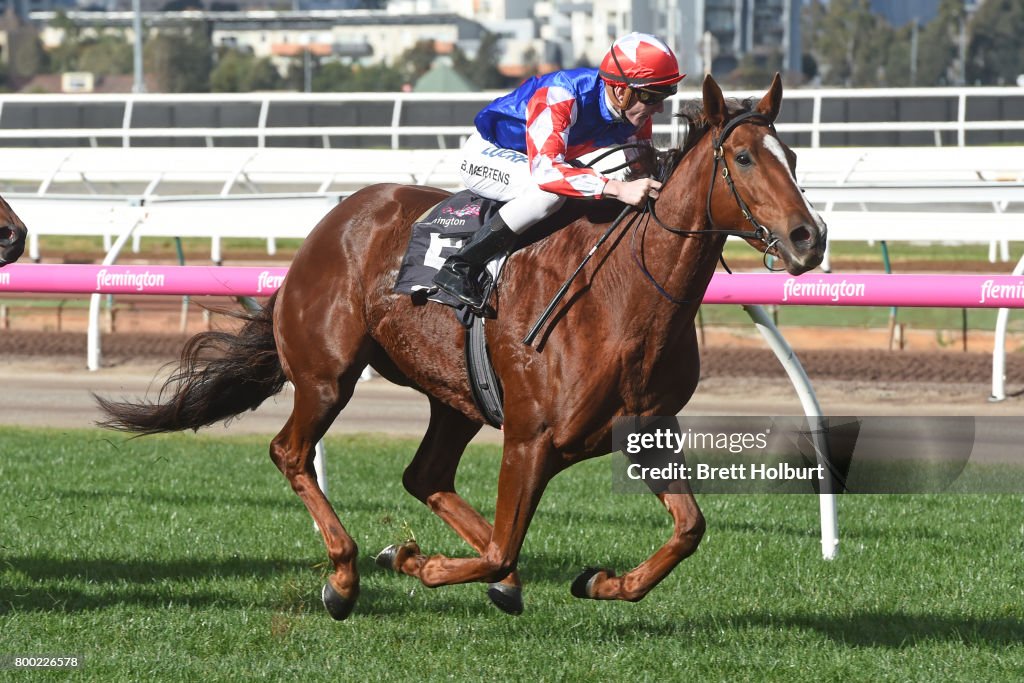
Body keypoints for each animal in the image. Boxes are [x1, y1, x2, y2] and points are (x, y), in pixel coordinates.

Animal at [99, 74, 827, 618]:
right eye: (742, 158)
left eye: (792, 159)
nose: (808, 238)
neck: (623, 300)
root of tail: (330, 224)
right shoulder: (531, 436)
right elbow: (506, 544)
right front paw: (415, 560)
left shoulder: (645, 430)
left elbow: (688, 528)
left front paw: (600, 580)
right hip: (328, 375)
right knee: (292, 453)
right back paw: (346, 576)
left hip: (457, 396)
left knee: (426, 477)